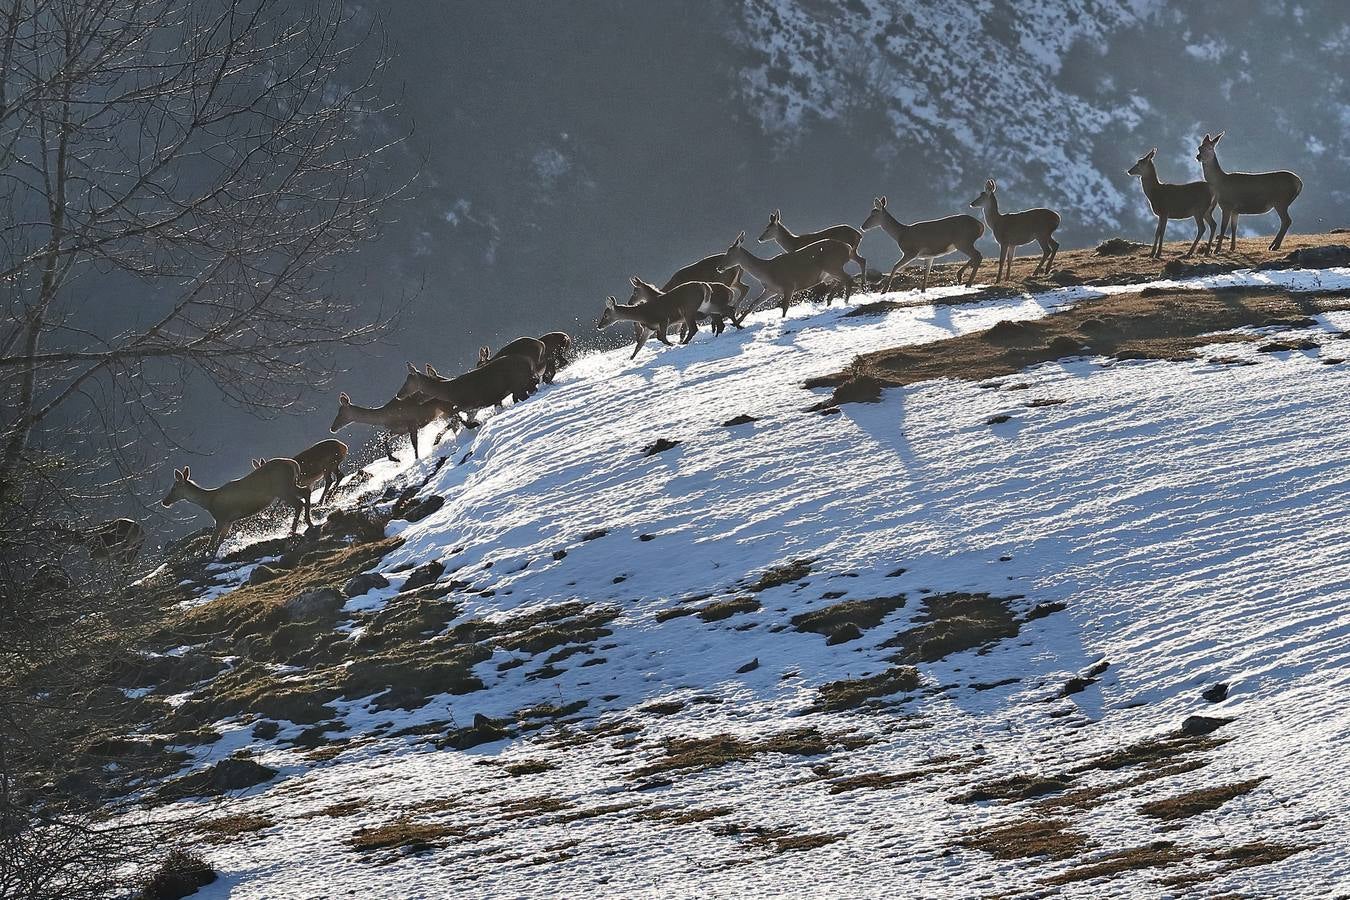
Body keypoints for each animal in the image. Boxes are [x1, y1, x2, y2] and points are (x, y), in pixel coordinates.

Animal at [160, 461, 310, 558]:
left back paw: (293, 530)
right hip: (290, 485)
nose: (164, 502)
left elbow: (212, 541)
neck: (209, 502)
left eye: (174, 488)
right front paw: (214, 555)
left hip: (282, 488)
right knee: (306, 492)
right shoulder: (229, 521)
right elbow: (221, 540)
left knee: (299, 503)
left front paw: (206, 556)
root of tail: (294, 464)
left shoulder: (221, 518)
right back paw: (308, 522)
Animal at [326, 391, 459, 461]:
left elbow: (414, 443)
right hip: (442, 412)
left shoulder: (412, 423)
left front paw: (416, 459)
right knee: (454, 422)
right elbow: (384, 439)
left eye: (341, 413)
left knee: (456, 419)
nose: (332, 428)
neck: (388, 417)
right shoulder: (398, 430)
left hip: (444, 406)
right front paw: (394, 459)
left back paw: (439, 439)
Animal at [394, 350, 537, 426]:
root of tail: (528, 362)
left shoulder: (471, 403)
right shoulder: (472, 408)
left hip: (518, 384)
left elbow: (454, 413)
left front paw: (474, 424)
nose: (398, 395)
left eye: (407, 382)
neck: (450, 391)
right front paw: (474, 424)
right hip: (523, 384)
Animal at [718, 232, 853, 319]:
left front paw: (783, 319)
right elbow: (753, 305)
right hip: (830, 272)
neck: (767, 271)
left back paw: (845, 301)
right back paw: (833, 300)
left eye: (729, 253)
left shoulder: (789, 285)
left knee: (848, 278)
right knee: (843, 280)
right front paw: (737, 324)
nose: (719, 267)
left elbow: (785, 307)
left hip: (833, 265)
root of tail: (848, 248)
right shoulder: (771, 290)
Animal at [858, 195, 988, 292]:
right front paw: (923, 290)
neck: (901, 233)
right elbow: (927, 272)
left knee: (978, 255)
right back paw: (961, 277)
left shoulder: (911, 251)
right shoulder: (929, 255)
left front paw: (884, 290)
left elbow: (895, 266)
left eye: (873, 214)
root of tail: (980, 226)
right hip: (964, 242)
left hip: (963, 241)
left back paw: (967, 282)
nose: (862, 226)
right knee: (976, 256)